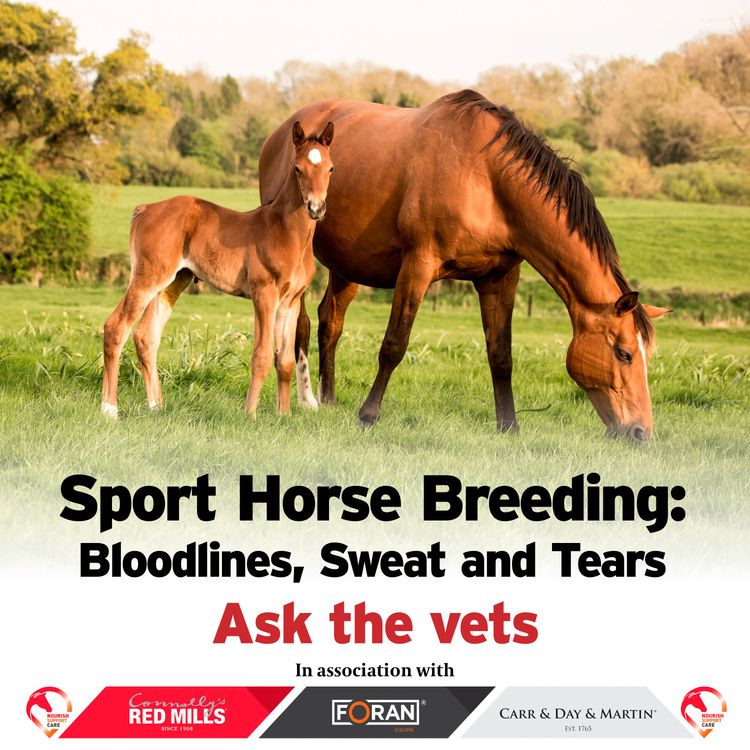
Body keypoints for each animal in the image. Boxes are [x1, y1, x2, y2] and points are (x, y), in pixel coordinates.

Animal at [101, 121, 334, 419]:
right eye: (297, 168)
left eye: (330, 168)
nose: (316, 208)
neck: (287, 234)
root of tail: (146, 209)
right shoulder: (264, 294)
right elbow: (261, 355)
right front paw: (249, 414)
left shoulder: (291, 301)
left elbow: (285, 360)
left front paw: (284, 415)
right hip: (148, 277)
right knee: (116, 327)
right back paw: (109, 409)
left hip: (173, 281)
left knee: (145, 336)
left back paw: (156, 406)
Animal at [259, 90, 669, 441]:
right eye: (624, 353)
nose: (641, 432)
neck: (486, 178)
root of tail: (283, 131)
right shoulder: (418, 266)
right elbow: (394, 345)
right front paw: (368, 416)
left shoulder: (499, 278)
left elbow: (500, 355)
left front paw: (509, 425)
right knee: (301, 325)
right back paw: (309, 400)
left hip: (348, 266)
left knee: (330, 322)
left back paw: (328, 399)